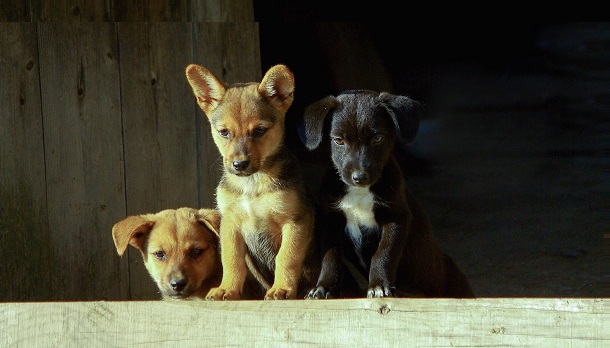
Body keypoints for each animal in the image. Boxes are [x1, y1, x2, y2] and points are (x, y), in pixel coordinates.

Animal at [184, 64, 318, 300]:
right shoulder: (230, 223)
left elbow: (287, 257)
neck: (252, 184)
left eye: (259, 131)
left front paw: (282, 288)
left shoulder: (296, 220)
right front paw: (227, 288)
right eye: (224, 132)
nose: (239, 164)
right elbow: (232, 260)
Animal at [300, 89, 476, 300]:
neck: (360, 192)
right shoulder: (329, 220)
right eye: (338, 141)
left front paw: (379, 286)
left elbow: (384, 254)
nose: (360, 177)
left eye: (377, 138)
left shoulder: (396, 218)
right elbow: (330, 257)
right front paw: (324, 287)